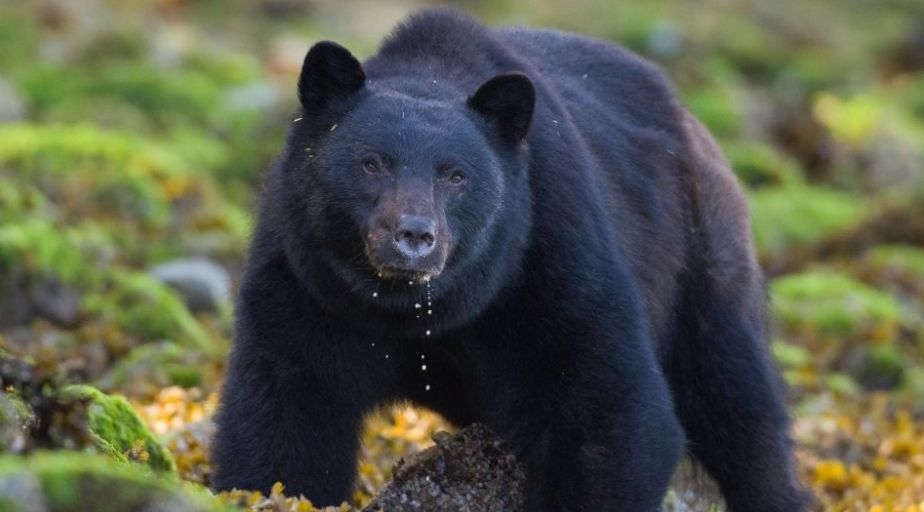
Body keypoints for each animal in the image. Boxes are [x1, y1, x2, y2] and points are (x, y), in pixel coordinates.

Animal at [213, 9, 804, 512]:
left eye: (455, 175)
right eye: (371, 163)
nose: (414, 235)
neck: (417, 310)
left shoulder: (554, 258)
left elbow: (612, 406)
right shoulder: (305, 283)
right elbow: (287, 415)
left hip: (704, 260)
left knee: (739, 404)